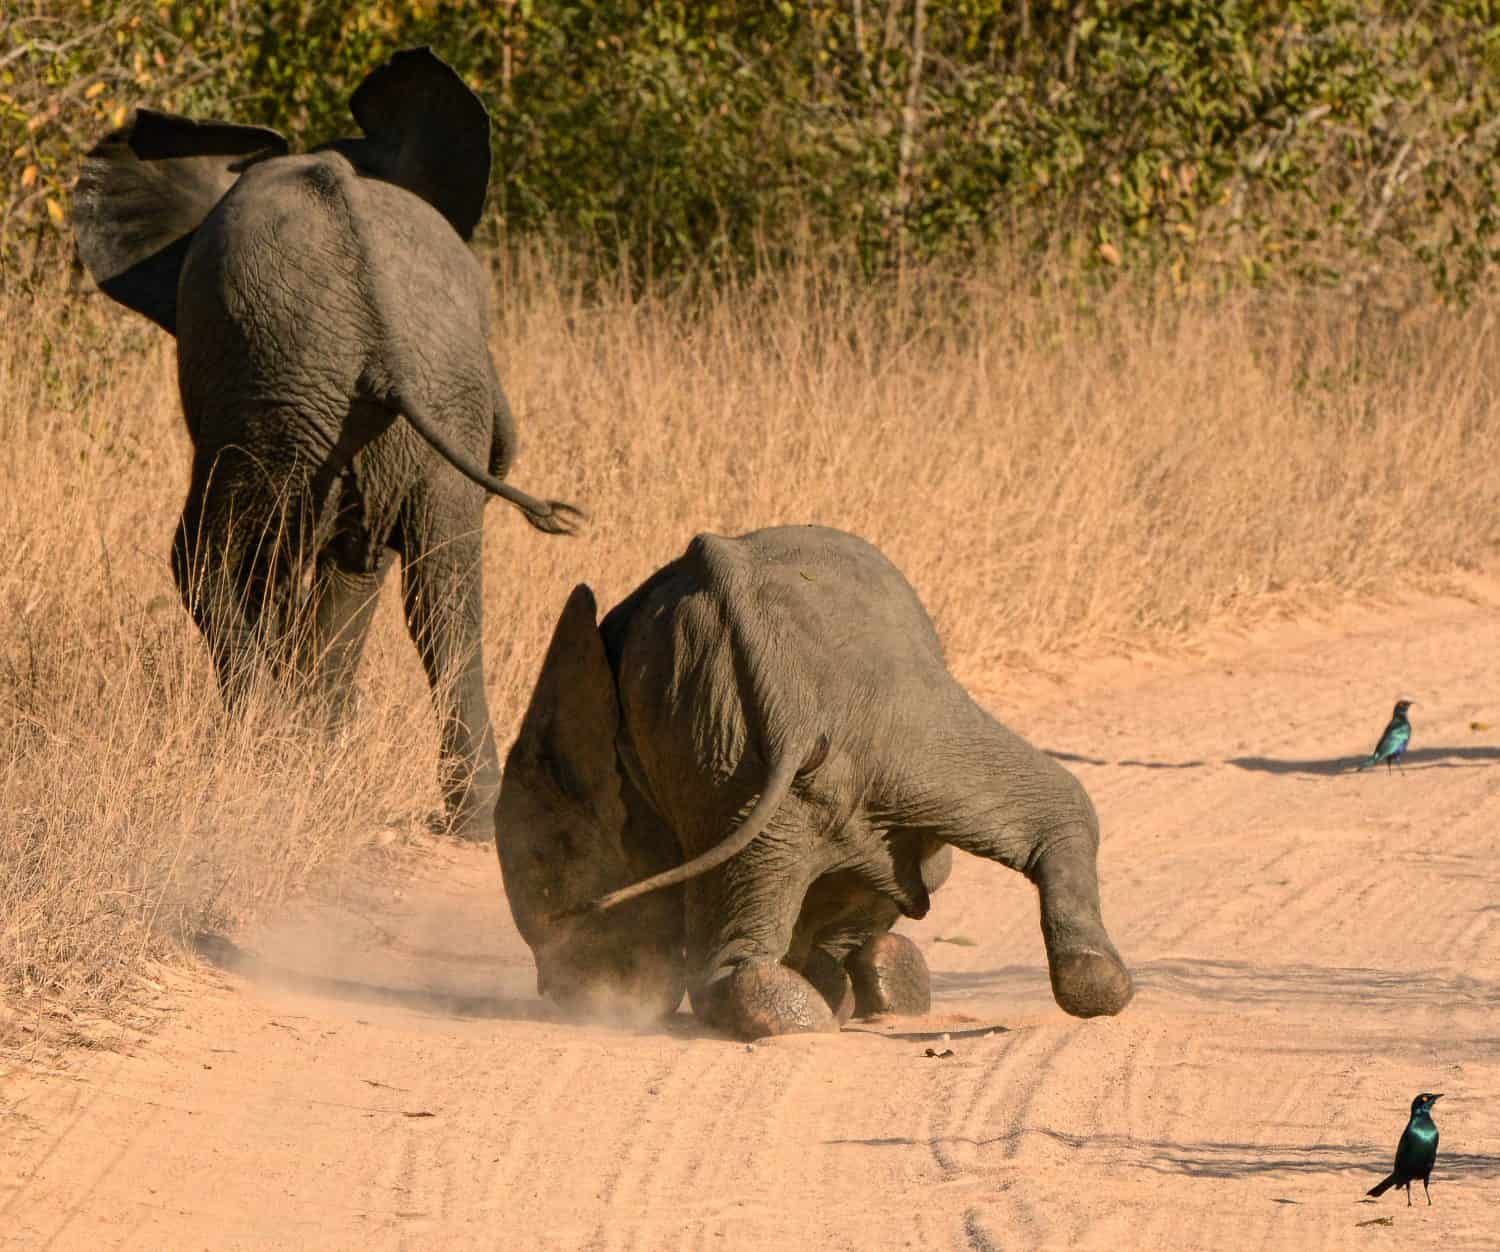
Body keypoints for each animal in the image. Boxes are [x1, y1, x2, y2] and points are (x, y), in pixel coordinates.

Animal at [70, 49, 576, 839]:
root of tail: (381, 340)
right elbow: (355, 578)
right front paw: (314, 754)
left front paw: (289, 757)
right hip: (417, 404)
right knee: (442, 598)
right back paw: (470, 822)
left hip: (280, 403)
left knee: (209, 559)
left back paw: (257, 755)